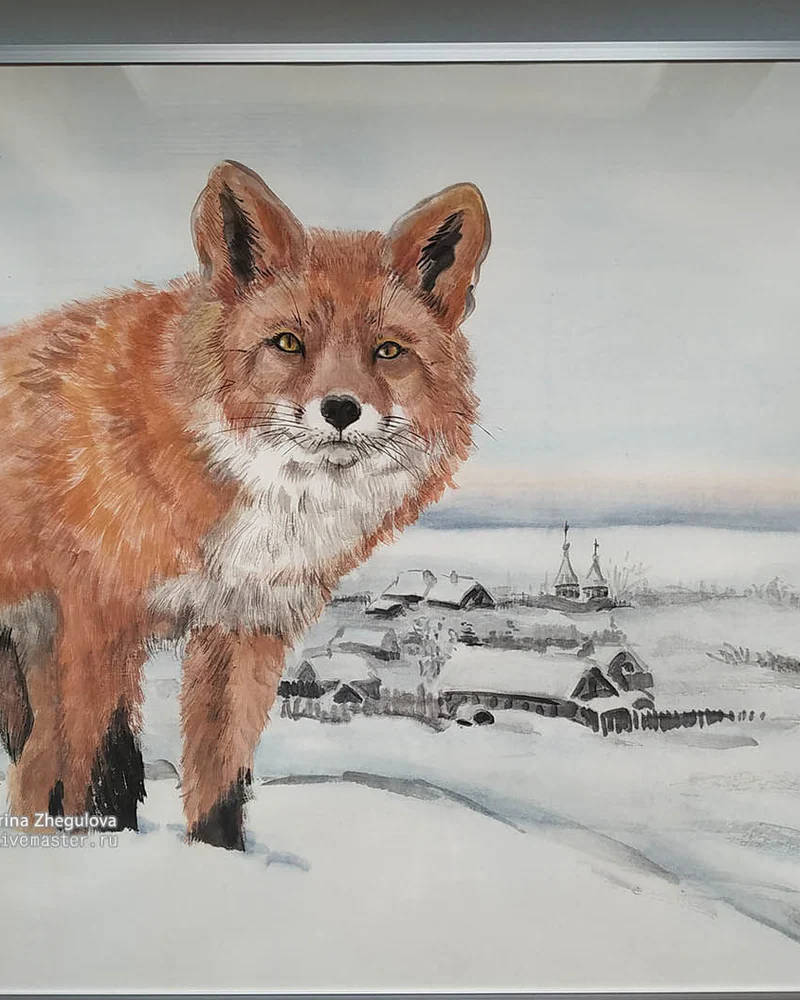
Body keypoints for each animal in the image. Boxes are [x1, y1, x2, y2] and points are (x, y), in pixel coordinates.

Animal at [0, 160, 490, 849]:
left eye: (388, 351)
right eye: (287, 343)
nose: (341, 409)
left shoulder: (246, 627)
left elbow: (221, 782)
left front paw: (218, 860)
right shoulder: (100, 619)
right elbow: (98, 762)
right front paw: (101, 846)